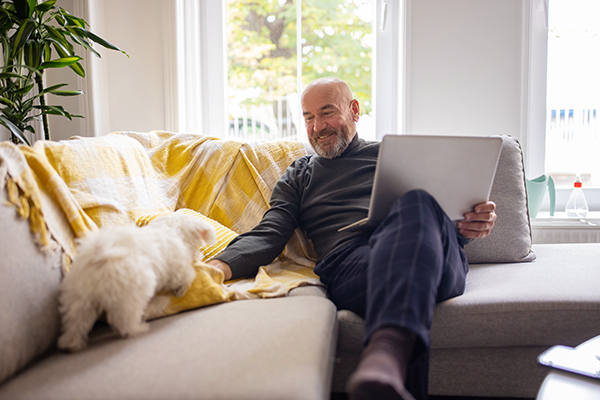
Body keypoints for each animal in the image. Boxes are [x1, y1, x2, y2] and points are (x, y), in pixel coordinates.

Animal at [56, 214, 216, 352]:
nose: (201, 256)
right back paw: (139, 328)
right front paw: (181, 289)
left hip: (78, 298)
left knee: (75, 321)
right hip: (132, 294)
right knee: (124, 321)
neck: (174, 229)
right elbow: (187, 276)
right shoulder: (179, 268)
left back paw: (70, 344)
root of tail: (100, 257)